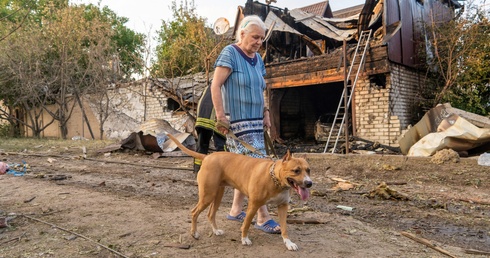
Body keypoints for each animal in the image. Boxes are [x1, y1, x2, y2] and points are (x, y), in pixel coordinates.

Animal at [167, 134, 314, 251]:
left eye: (308, 170)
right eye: (296, 171)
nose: (309, 183)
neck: (276, 180)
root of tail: (208, 156)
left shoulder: (283, 207)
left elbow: (284, 228)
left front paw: (288, 243)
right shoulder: (253, 205)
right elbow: (247, 223)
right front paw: (244, 239)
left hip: (217, 195)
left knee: (210, 214)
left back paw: (215, 231)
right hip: (207, 196)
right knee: (194, 212)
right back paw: (195, 234)